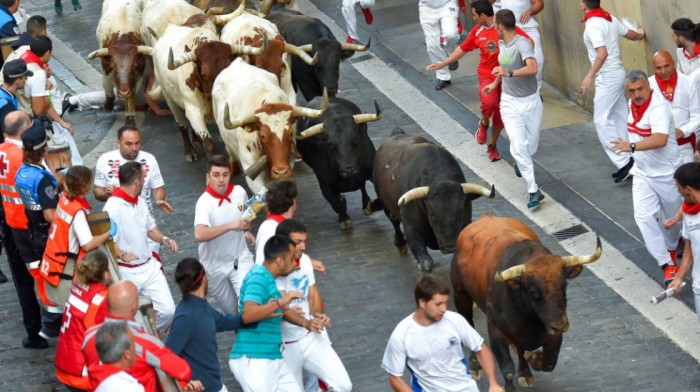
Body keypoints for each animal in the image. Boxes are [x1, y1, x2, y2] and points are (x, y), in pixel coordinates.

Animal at [296, 96, 382, 230]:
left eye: (355, 140)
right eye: (330, 144)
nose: (349, 170)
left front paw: (370, 206)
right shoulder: (324, 184)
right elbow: (336, 203)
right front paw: (344, 219)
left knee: (362, 186)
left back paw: (366, 204)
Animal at [372, 130, 498, 272]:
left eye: (461, 212)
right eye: (432, 214)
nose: (450, 247)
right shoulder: (411, 229)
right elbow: (426, 263)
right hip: (386, 206)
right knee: (394, 222)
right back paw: (400, 245)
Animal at [454, 214, 600, 392]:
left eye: (564, 285)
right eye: (534, 292)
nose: (559, 325)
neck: (529, 319)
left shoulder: (552, 332)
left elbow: (549, 362)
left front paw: (532, 359)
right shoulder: (496, 330)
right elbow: (507, 367)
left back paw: (525, 372)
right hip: (461, 295)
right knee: (469, 326)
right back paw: (475, 366)